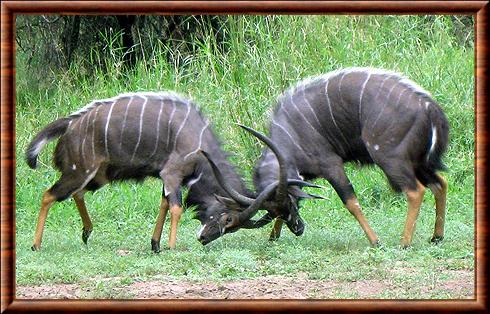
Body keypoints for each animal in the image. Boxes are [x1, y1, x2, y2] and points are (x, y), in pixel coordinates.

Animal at [25, 92, 310, 251]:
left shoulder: (169, 179)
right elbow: (175, 207)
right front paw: (171, 247)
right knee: (49, 195)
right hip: (79, 171)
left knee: (77, 194)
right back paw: (36, 245)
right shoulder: (172, 174)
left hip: (98, 176)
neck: (198, 141)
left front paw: (156, 245)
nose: (204, 238)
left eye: (232, 228)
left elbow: (164, 204)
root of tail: (68, 126)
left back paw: (86, 232)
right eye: (228, 219)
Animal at [202, 67, 448, 248]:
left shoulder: (331, 165)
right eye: (276, 210)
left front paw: (375, 241)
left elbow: (350, 201)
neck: (290, 134)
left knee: (415, 191)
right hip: (419, 163)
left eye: (290, 205)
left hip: (391, 160)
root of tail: (429, 107)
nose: (298, 229)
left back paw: (404, 243)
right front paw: (273, 237)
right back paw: (436, 237)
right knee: (440, 183)